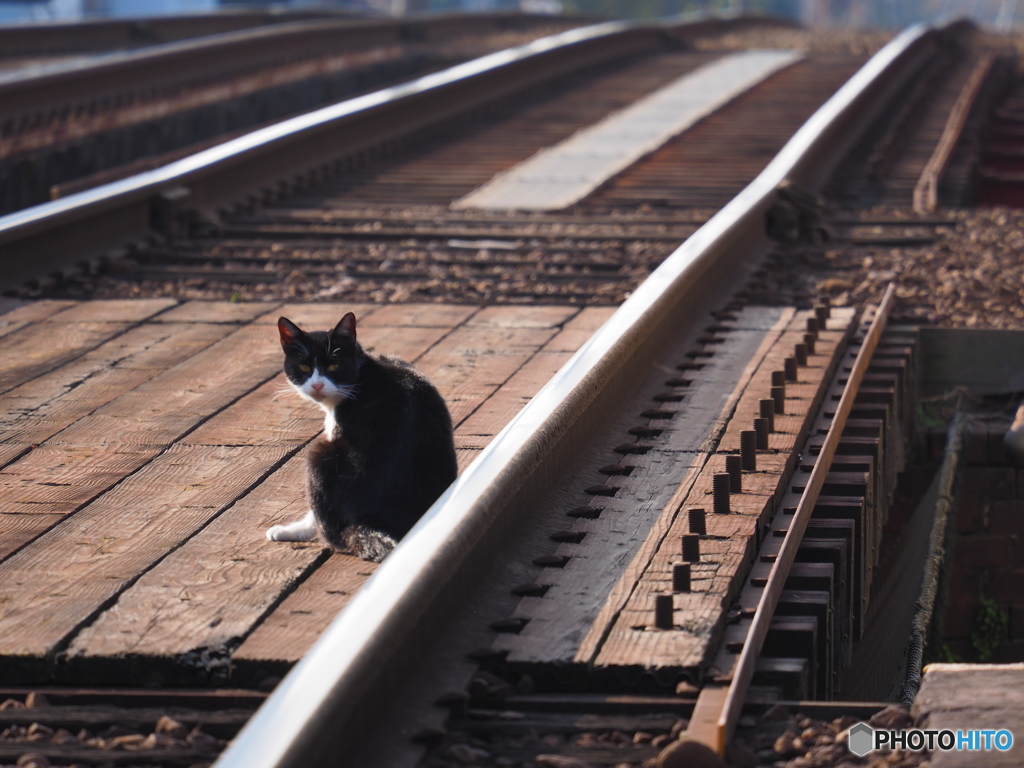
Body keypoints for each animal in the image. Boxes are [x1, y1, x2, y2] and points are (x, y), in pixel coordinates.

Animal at [266, 313, 458, 565]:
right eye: (304, 367)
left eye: (333, 365)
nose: (317, 385)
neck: (362, 372)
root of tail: (368, 519)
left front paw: (289, 530)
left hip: (320, 454)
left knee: (334, 534)